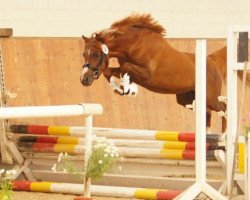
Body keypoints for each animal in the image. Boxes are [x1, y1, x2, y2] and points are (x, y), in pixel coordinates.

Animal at [79, 14, 227, 133]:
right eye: (84, 54)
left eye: (96, 54)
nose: (84, 79)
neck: (134, 45)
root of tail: (212, 60)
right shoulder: (125, 68)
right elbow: (109, 71)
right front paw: (120, 88)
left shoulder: (146, 74)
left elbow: (125, 68)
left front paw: (127, 88)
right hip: (187, 99)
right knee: (207, 112)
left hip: (211, 98)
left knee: (224, 108)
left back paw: (225, 137)